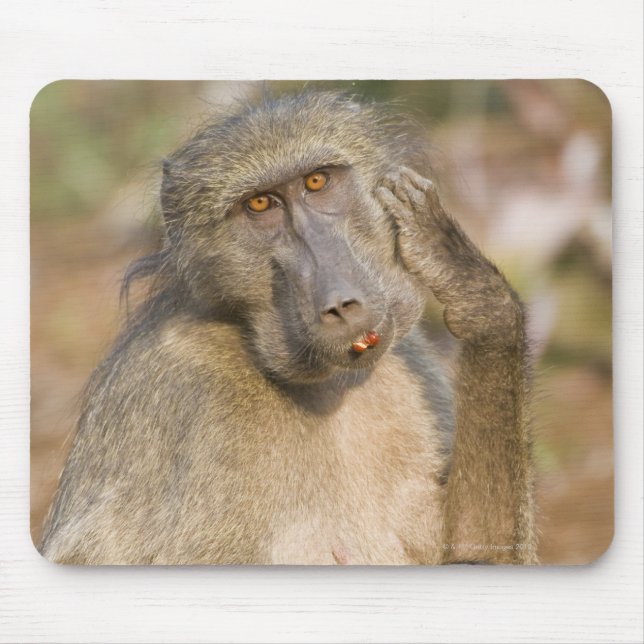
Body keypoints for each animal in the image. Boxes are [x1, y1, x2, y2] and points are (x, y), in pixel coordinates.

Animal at [38, 90, 537, 565]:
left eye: (317, 182)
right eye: (260, 204)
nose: (340, 304)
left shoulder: (410, 362)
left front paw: (468, 284)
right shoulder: (178, 385)